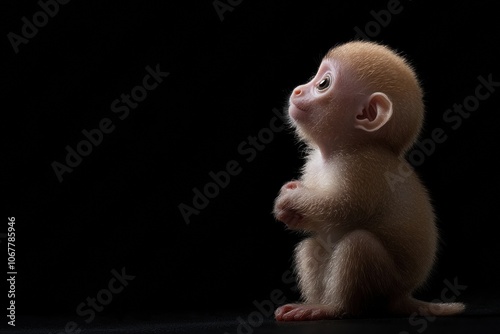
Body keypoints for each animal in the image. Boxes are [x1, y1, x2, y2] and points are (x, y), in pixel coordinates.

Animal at [274, 41, 464, 320]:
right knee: (313, 245)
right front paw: (290, 205)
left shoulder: (362, 166)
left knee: (359, 244)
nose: (298, 90)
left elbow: (343, 207)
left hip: (387, 283)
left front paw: (292, 199)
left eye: (323, 84)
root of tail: (402, 297)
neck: (338, 150)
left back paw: (331, 308)